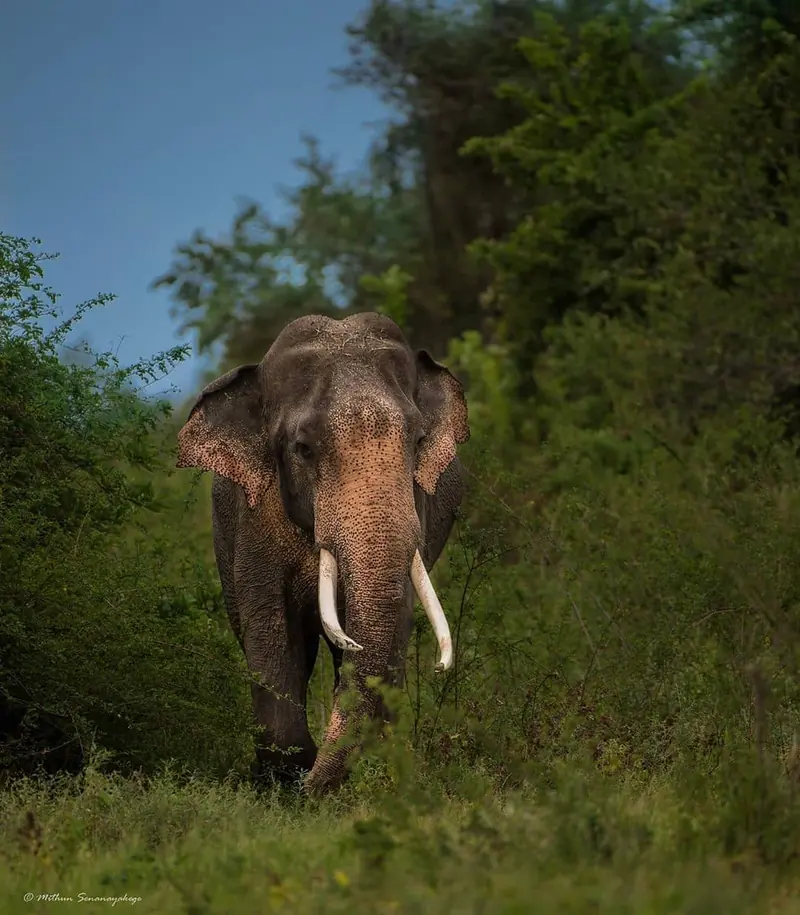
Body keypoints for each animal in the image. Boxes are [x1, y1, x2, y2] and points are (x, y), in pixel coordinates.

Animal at [176, 312, 470, 794]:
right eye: (303, 448)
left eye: (418, 440)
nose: (309, 788)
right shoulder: (255, 515)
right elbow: (269, 624)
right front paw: (288, 776)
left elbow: (393, 623)